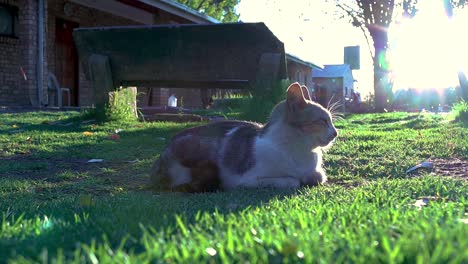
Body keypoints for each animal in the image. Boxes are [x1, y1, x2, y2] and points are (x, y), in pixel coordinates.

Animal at [150, 82, 336, 192]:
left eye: (331, 121)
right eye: (323, 121)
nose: (335, 133)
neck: (302, 149)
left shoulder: (316, 172)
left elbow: (319, 175)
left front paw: (310, 177)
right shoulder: (248, 179)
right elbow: (292, 181)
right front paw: (299, 179)